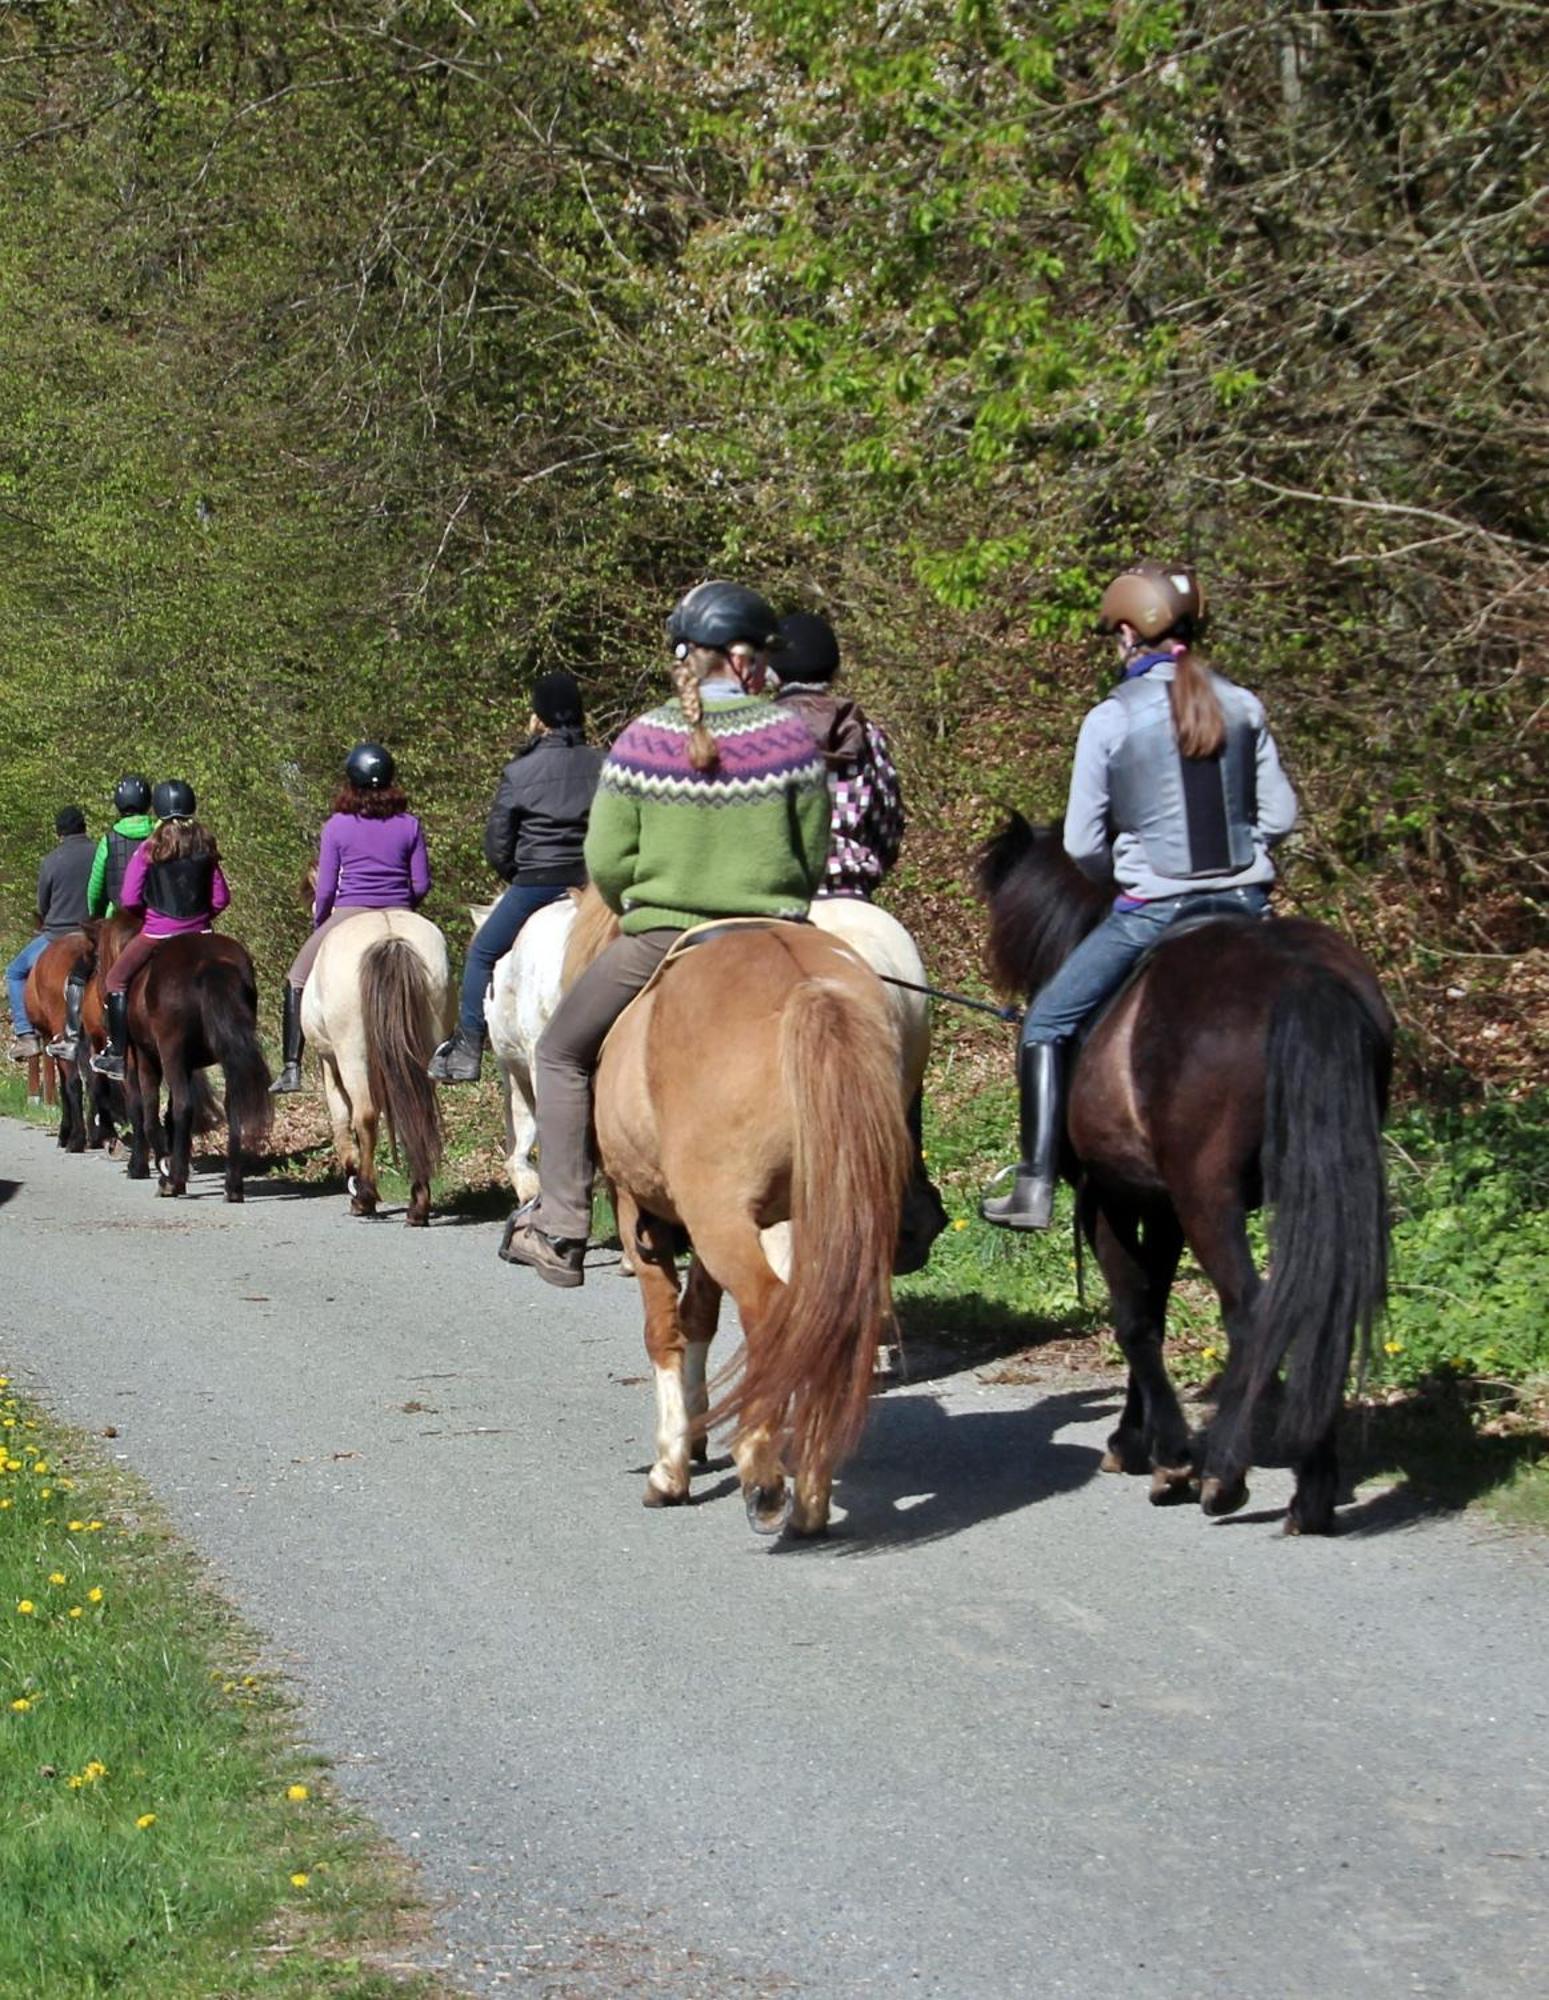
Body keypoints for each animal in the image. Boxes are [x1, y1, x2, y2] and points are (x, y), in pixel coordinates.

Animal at [592, 916, 908, 1536]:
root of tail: (808, 987)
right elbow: (698, 1317)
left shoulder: (640, 1212)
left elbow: (664, 1328)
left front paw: (670, 1469)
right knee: (826, 1319)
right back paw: (811, 1492)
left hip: (723, 1221)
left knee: (772, 1310)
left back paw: (763, 1476)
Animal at [988, 820, 1400, 1536]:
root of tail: (1300, 977)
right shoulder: (1162, 1206)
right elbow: (1152, 1303)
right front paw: (1139, 1441)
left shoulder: (1108, 1198)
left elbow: (1133, 1315)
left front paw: (1169, 1455)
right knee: (1313, 1309)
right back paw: (1312, 1487)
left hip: (1211, 1199)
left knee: (1254, 1311)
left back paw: (1226, 1474)